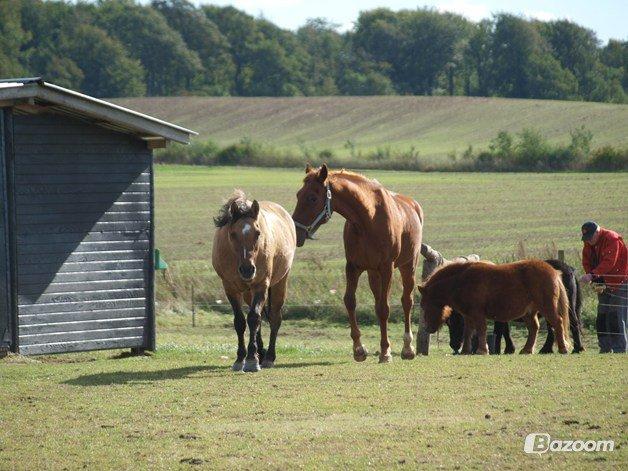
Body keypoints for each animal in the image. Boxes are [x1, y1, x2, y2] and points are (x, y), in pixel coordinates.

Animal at [213, 191, 296, 372]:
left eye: (258, 233)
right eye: (233, 234)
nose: (247, 270)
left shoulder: (261, 286)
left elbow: (253, 318)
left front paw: (251, 359)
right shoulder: (230, 288)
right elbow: (240, 321)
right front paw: (240, 359)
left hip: (280, 283)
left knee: (274, 318)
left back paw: (269, 357)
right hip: (247, 293)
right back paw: (261, 353)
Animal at [292, 164, 424, 364]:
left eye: (312, 197)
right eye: (299, 194)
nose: (296, 233)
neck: (368, 219)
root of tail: (413, 205)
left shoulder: (387, 268)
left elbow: (385, 308)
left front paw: (385, 352)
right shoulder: (353, 267)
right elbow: (350, 301)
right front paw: (359, 349)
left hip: (408, 266)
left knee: (406, 301)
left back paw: (407, 348)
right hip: (373, 274)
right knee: (378, 302)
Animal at [420, 260, 572, 356]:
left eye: (425, 305)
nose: (428, 328)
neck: (461, 280)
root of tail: (554, 271)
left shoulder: (478, 314)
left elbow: (481, 330)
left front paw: (482, 350)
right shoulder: (468, 316)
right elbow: (468, 332)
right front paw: (465, 351)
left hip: (547, 307)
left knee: (557, 323)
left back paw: (563, 348)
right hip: (530, 312)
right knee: (534, 328)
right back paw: (527, 350)